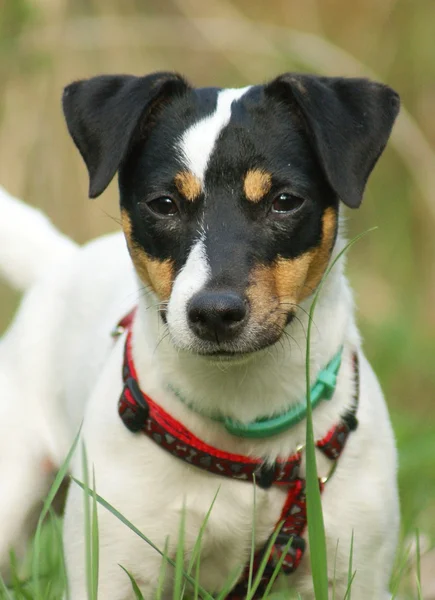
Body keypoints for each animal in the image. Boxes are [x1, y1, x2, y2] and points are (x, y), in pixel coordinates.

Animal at [0, 72, 402, 596]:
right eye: (163, 204)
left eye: (285, 202)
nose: (214, 312)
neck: (244, 418)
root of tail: (61, 261)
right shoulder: (112, 571)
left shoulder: (353, 571)